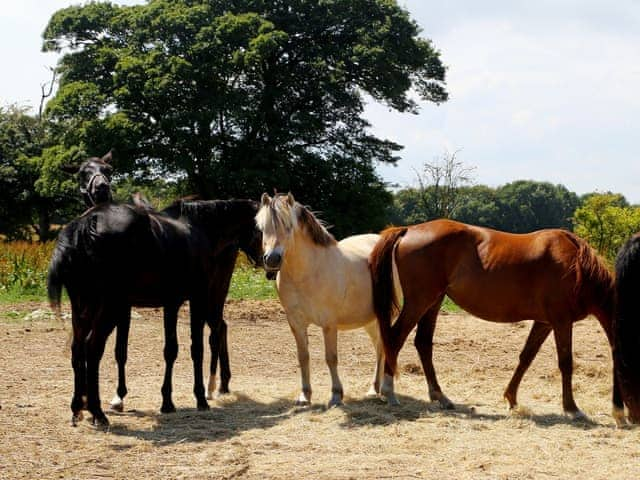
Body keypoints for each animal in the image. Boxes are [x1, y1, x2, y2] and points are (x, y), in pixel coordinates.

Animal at [256, 193, 396, 406]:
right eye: (262, 228)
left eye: (288, 226)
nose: (272, 259)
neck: (309, 272)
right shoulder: (296, 323)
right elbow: (303, 357)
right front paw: (305, 395)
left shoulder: (329, 323)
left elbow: (331, 358)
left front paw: (336, 395)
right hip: (370, 319)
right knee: (379, 348)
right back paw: (373, 389)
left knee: (387, 347)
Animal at [368, 219, 624, 422]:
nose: (625, 415)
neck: (575, 266)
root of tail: (409, 230)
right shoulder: (561, 321)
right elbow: (566, 363)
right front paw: (572, 409)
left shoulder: (545, 323)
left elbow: (526, 357)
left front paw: (511, 398)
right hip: (420, 302)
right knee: (395, 338)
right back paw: (389, 392)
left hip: (434, 301)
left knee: (422, 342)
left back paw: (440, 396)